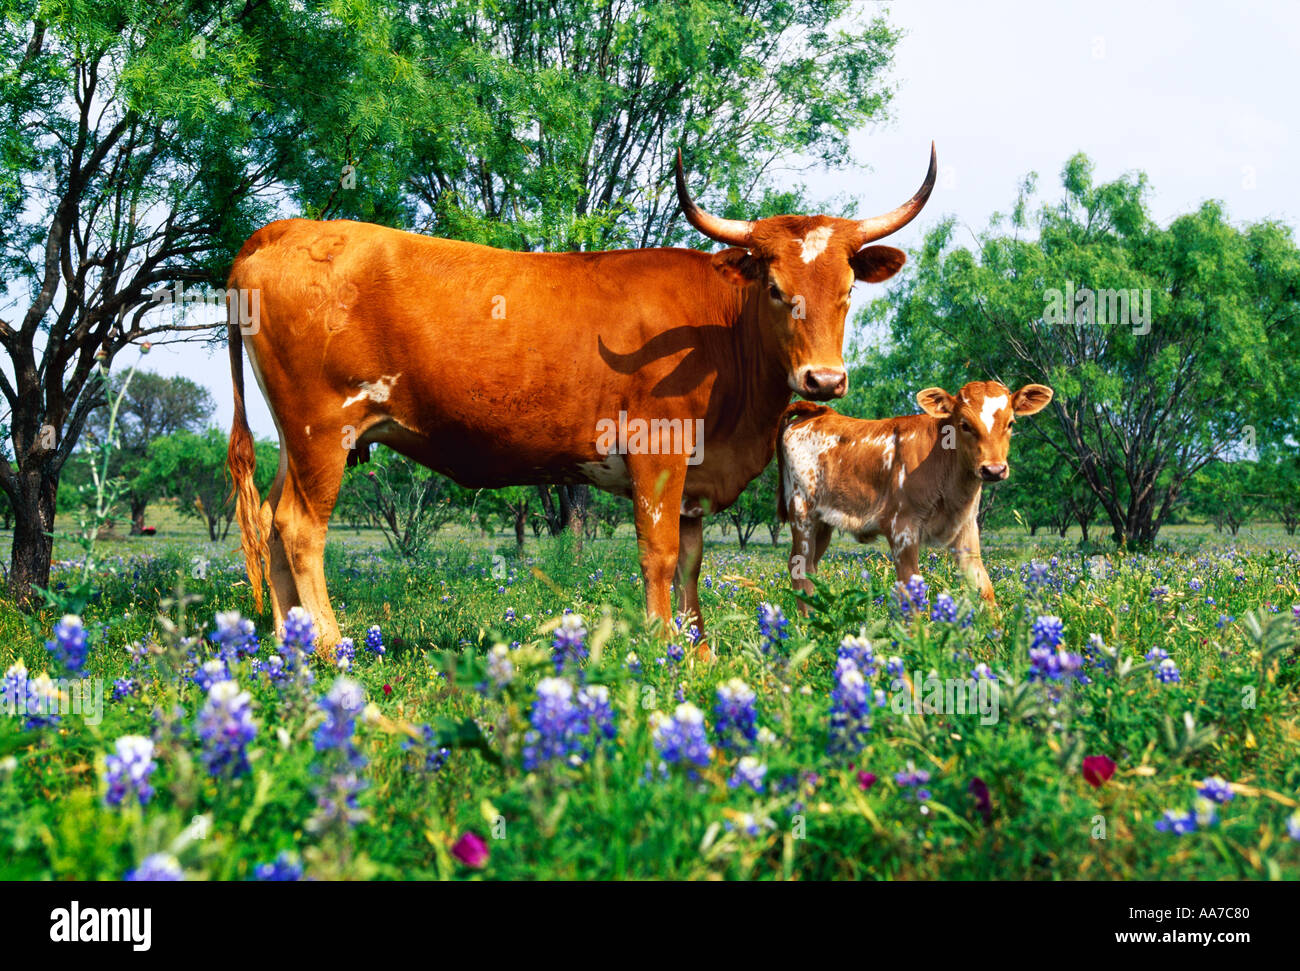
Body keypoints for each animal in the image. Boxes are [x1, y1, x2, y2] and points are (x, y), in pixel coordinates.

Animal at [226, 147, 936, 652]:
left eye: (847, 290)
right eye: (774, 287)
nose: (824, 382)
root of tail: (285, 230)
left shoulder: (696, 477)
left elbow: (693, 563)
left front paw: (699, 653)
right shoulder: (658, 456)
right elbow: (660, 555)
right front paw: (662, 648)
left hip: (297, 436)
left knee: (270, 518)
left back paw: (290, 648)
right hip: (323, 428)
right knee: (299, 527)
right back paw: (328, 645)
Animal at [777, 380, 1054, 610]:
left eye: (1011, 423)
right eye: (964, 424)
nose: (994, 469)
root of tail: (820, 411)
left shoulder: (966, 528)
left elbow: (983, 587)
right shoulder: (902, 528)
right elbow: (912, 593)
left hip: (823, 522)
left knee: (810, 566)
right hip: (802, 513)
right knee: (798, 566)